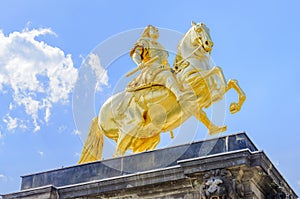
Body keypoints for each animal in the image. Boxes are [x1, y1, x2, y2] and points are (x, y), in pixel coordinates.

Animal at [78, 22, 245, 164]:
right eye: (198, 29)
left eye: (208, 29)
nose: (208, 44)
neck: (191, 64)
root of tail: (100, 114)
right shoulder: (194, 84)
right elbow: (218, 70)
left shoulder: (203, 99)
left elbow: (231, 83)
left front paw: (233, 108)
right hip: (129, 130)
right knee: (116, 155)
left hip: (147, 136)